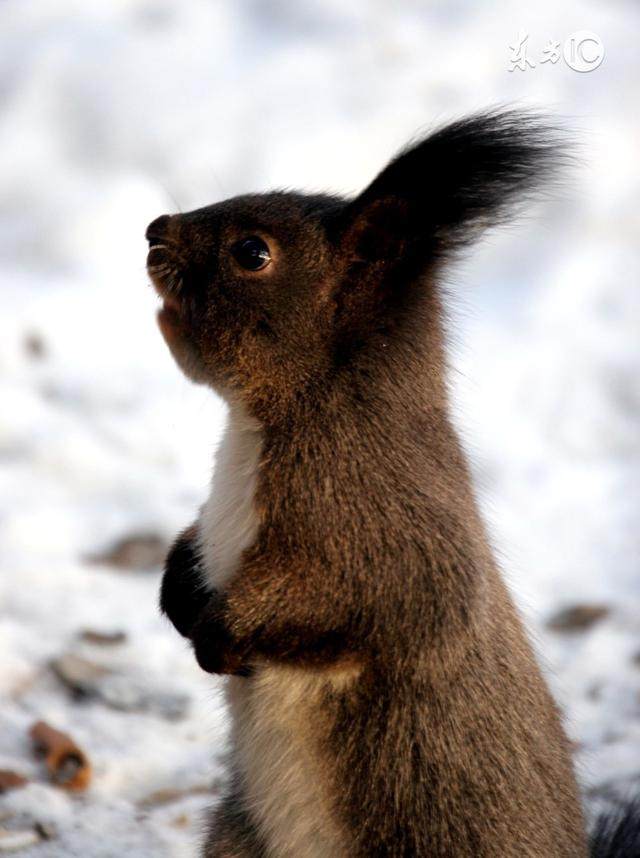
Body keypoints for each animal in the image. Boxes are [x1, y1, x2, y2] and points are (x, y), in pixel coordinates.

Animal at [146, 112, 640, 856]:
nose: (155, 231)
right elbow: (195, 544)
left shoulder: (373, 516)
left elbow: (356, 596)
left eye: (253, 253)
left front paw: (218, 633)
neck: (260, 427)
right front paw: (178, 593)